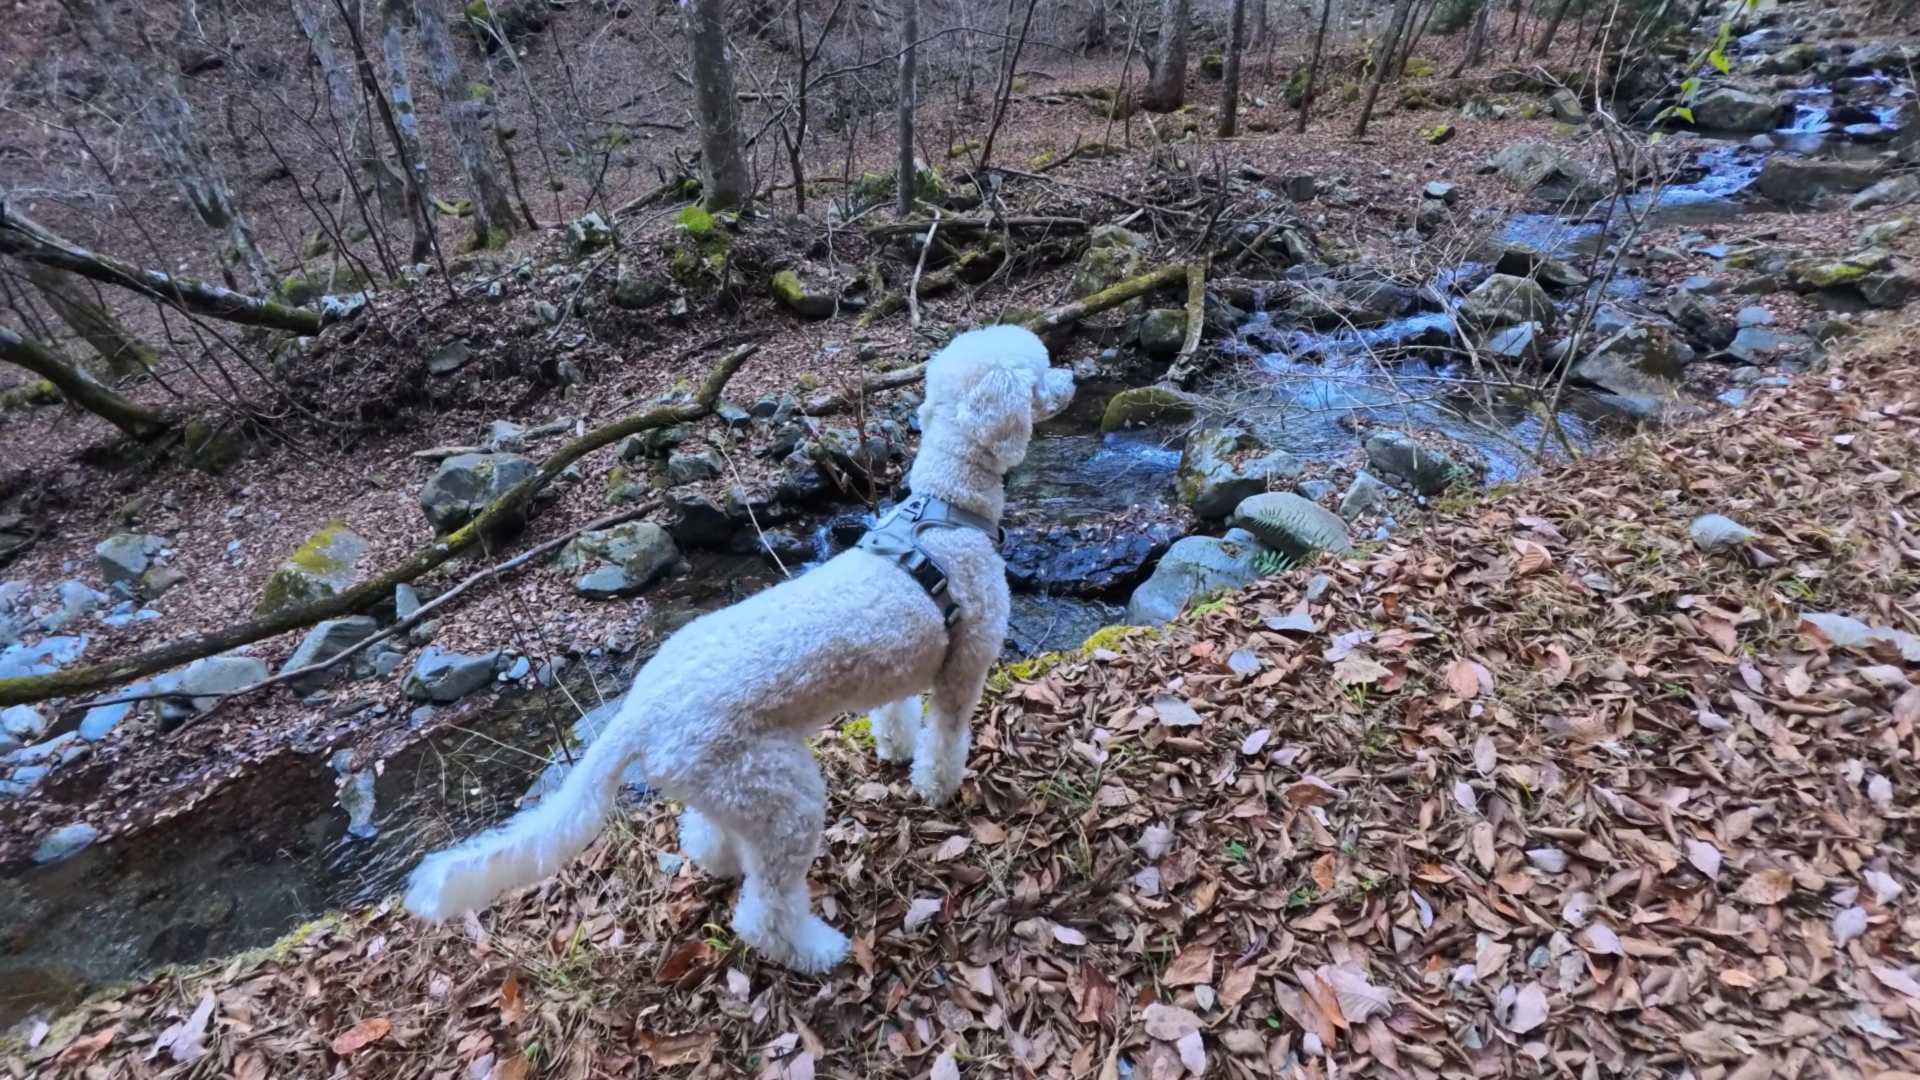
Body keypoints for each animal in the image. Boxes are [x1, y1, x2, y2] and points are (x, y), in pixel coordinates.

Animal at [404, 325, 1074, 973]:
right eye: (1039, 370)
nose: (1069, 376)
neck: (945, 513)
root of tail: (640, 709)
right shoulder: (963, 667)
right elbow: (946, 740)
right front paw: (938, 788)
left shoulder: (904, 666)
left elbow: (894, 717)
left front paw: (894, 752)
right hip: (782, 793)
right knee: (766, 909)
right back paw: (814, 951)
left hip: (731, 785)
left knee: (704, 833)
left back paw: (723, 862)